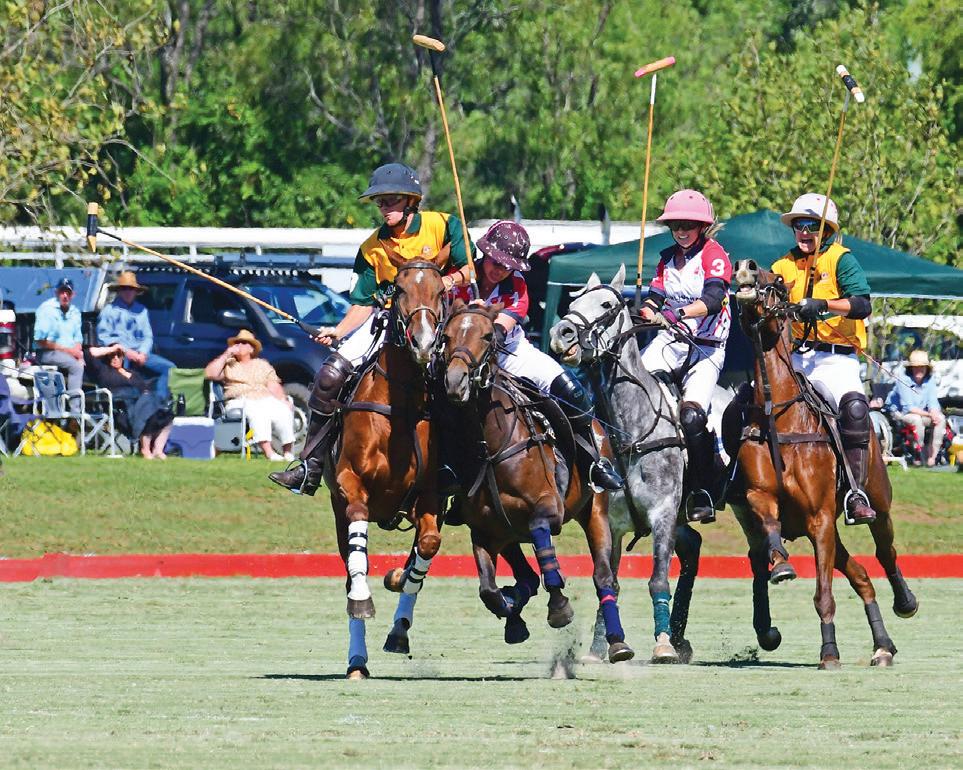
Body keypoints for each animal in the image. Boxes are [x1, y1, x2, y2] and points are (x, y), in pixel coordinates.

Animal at [325, 260, 449, 679]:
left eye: (440, 291)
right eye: (400, 290)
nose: (423, 343)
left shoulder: (430, 493)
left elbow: (427, 548)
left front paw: (399, 606)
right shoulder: (350, 484)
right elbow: (357, 557)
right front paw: (362, 600)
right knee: (351, 566)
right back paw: (356, 661)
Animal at [385, 300, 634, 664]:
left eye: (488, 336)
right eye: (446, 336)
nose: (455, 382)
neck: (491, 447)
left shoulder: (549, 509)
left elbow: (543, 541)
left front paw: (559, 606)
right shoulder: (484, 529)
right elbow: (489, 589)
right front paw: (512, 612)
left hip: (595, 512)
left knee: (604, 577)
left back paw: (617, 643)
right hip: (508, 532)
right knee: (526, 575)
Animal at [549, 265, 705, 664]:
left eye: (607, 304)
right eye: (573, 301)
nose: (560, 334)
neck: (630, 431)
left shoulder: (664, 512)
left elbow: (657, 578)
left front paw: (662, 645)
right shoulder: (612, 520)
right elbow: (611, 580)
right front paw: (599, 647)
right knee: (693, 547)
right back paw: (681, 636)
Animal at [727, 259, 918, 669]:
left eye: (777, 281)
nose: (745, 268)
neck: (780, 416)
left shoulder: (820, 518)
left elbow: (823, 594)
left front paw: (829, 652)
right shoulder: (762, 497)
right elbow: (769, 525)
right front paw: (781, 565)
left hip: (875, 499)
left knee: (885, 551)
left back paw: (905, 602)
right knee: (861, 576)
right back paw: (883, 645)